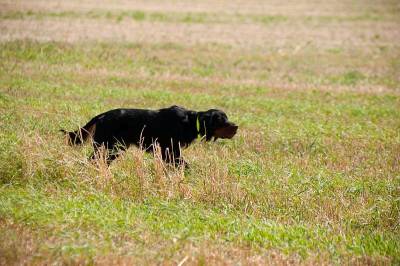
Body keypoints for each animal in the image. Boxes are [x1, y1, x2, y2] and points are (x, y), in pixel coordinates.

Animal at [61, 105, 238, 165]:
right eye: (222, 120)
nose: (237, 127)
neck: (190, 122)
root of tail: (101, 116)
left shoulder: (167, 152)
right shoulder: (171, 150)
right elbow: (183, 165)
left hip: (114, 148)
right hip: (109, 146)